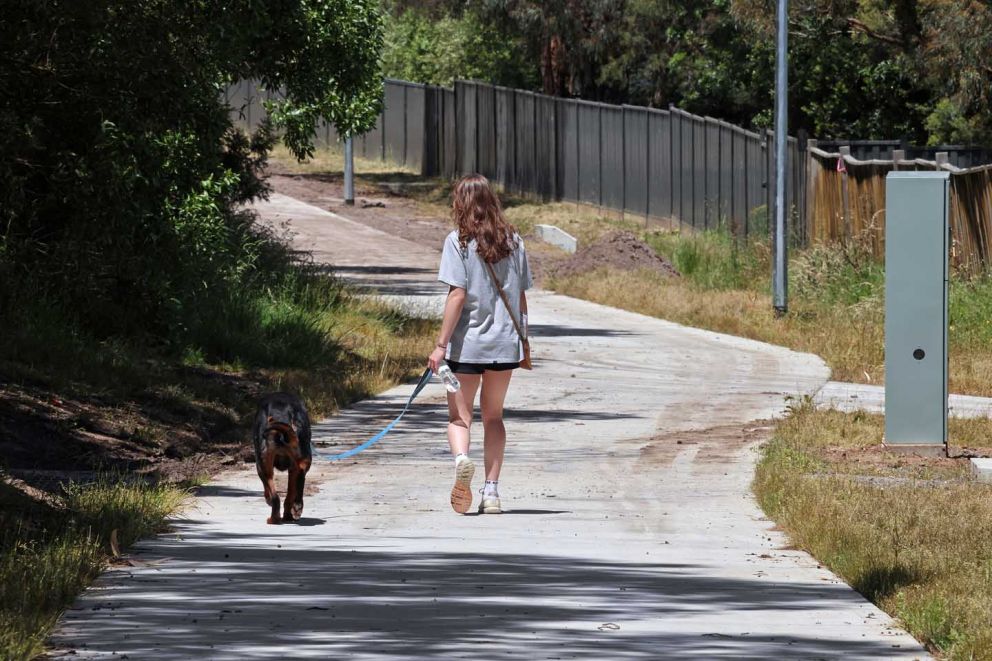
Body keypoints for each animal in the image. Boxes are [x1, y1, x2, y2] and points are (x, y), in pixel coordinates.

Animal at [250, 392, 312, 524]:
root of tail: (281, 415)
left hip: (263, 465)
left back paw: (273, 519)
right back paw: (296, 508)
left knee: (275, 497)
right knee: (298, 480)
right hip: (303, 458)